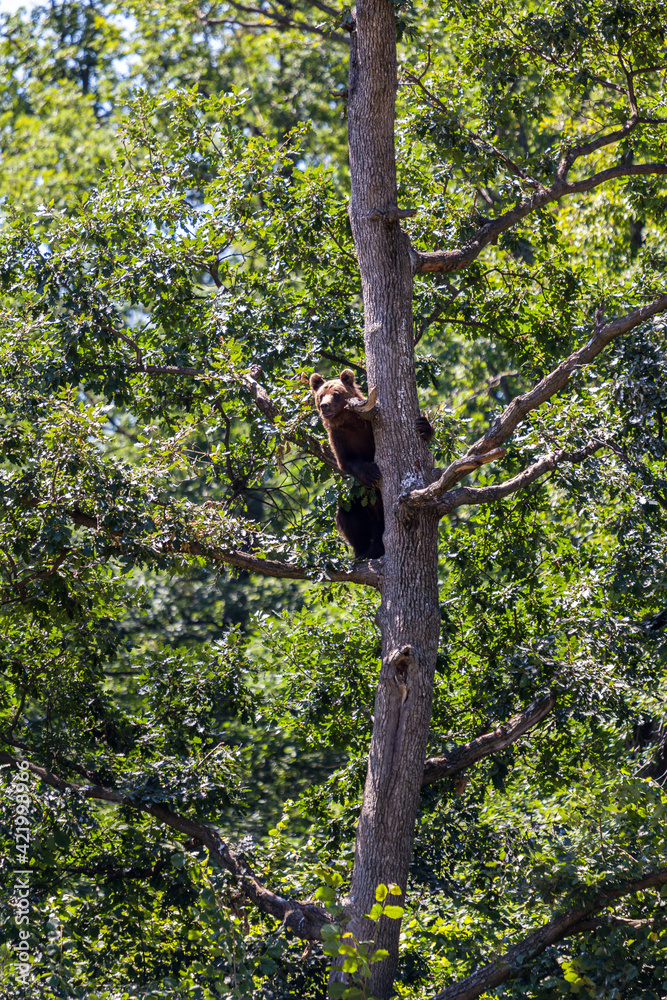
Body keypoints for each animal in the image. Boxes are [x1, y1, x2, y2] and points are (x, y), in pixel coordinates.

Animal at [309, 368, 433, 560]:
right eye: (321, 395)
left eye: (336, 393)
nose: (325, 406)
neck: (349, 422)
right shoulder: (339, 438)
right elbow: (347, 461)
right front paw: (371, 472)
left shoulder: (368, 427)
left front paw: (424, 426)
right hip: (358, 499)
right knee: (350, 515)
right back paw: (362, 551)